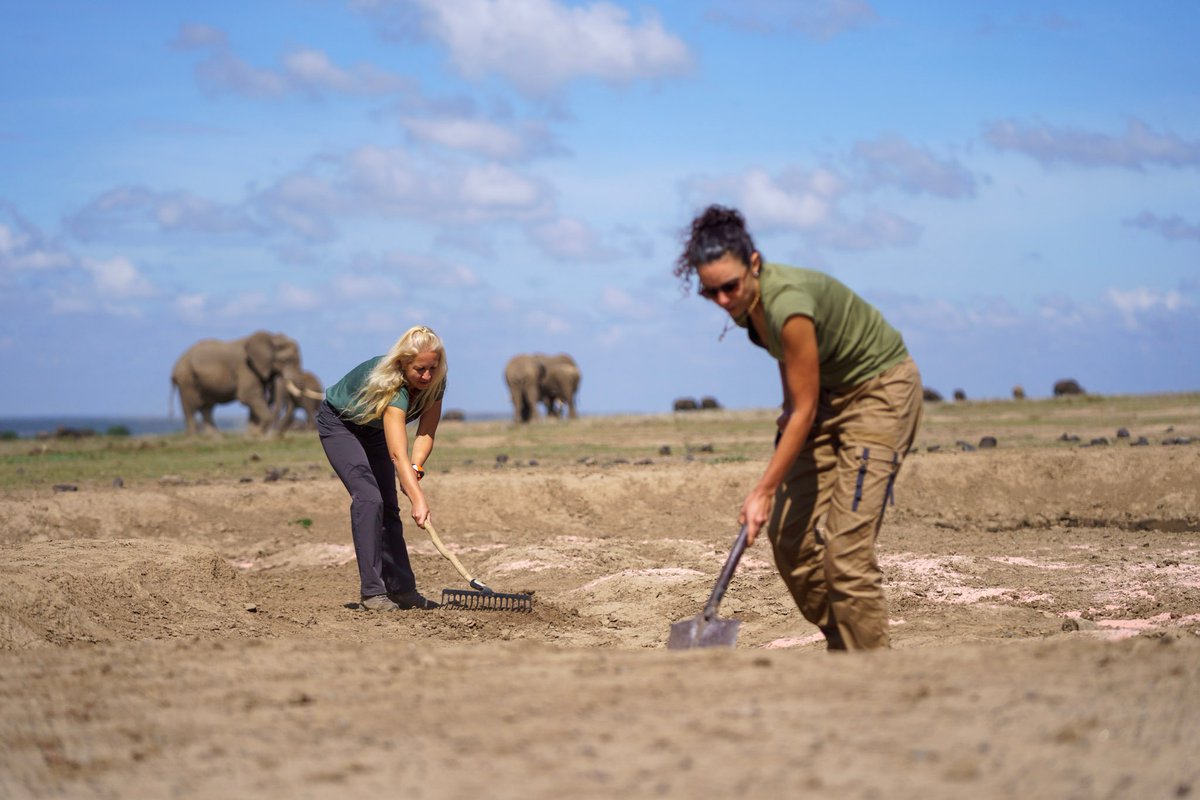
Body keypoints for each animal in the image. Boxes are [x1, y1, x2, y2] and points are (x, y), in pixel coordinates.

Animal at [172, 328, 304, 434]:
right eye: (287, 360)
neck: (271, 337)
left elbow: (256, 398)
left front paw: (252, 436)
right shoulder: (246, 367)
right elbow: (249, 396)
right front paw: (257, 434)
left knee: (207, 408)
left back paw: (216, 440)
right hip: (186, 379)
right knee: (190, 407)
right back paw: (194, 440)